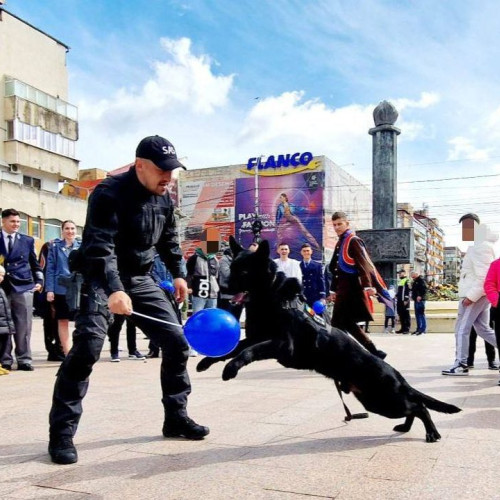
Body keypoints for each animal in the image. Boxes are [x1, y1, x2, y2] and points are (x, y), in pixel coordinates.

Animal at [219, 236, 460, 444]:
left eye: (244, 271)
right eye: (231, 269)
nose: (223, 288)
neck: (273, 297)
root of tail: (399, 376)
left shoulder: (282, 346)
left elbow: (248, 351)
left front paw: (231, 368)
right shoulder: (256, 337)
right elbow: (236, 347)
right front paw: (213, 361)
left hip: (385, 400)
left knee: (419, 407)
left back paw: (431, 432)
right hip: (376, 402)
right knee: (413, 407)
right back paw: (406, 427)